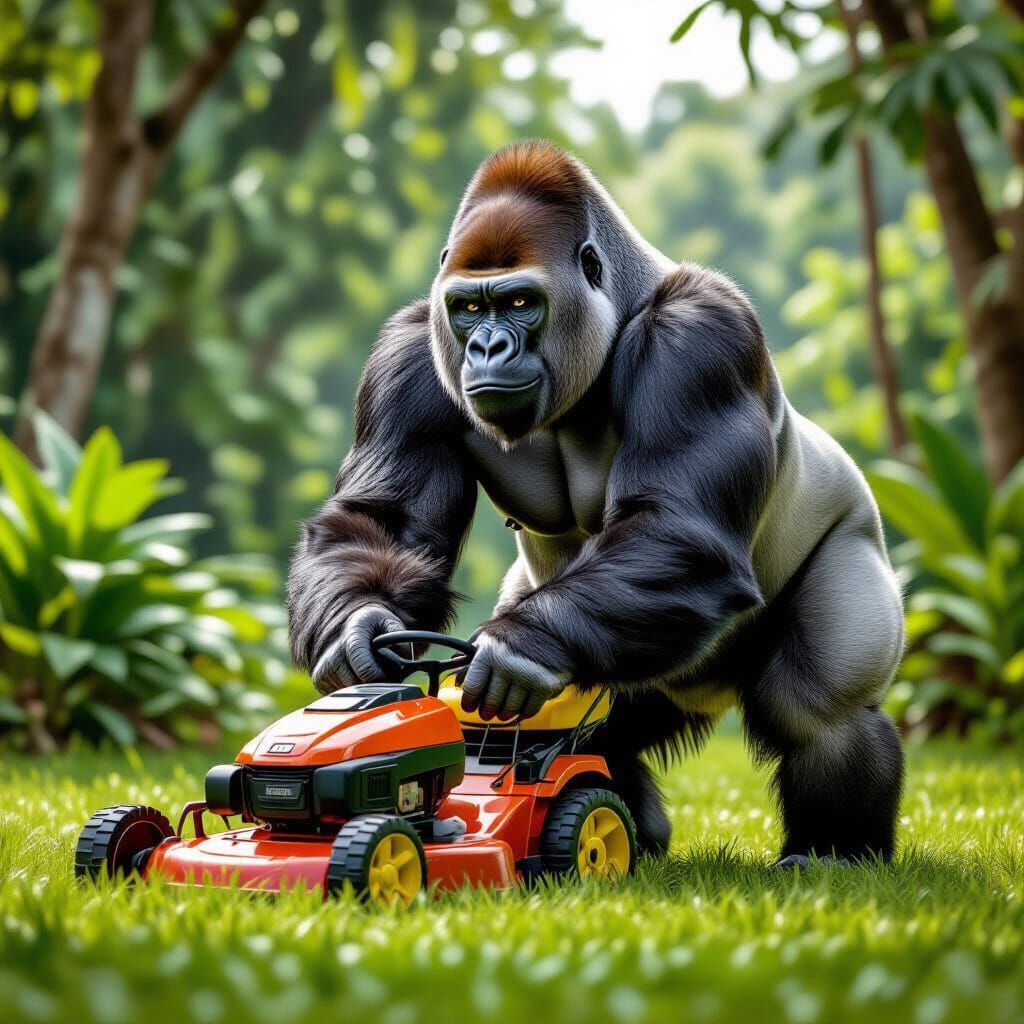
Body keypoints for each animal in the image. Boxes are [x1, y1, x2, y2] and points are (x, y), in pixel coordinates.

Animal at [288, 140, 905, 867]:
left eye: (520, 301)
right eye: (468, 309)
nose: (487, 346)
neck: (620, 306)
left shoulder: (703, 331)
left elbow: (677, 526)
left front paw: (518, 648)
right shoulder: (409, 346)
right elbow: (386, 521)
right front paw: (357, 630)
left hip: (847, 538)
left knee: (817, 707)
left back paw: (834, 849)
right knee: (597, 732)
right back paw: (643, 832)